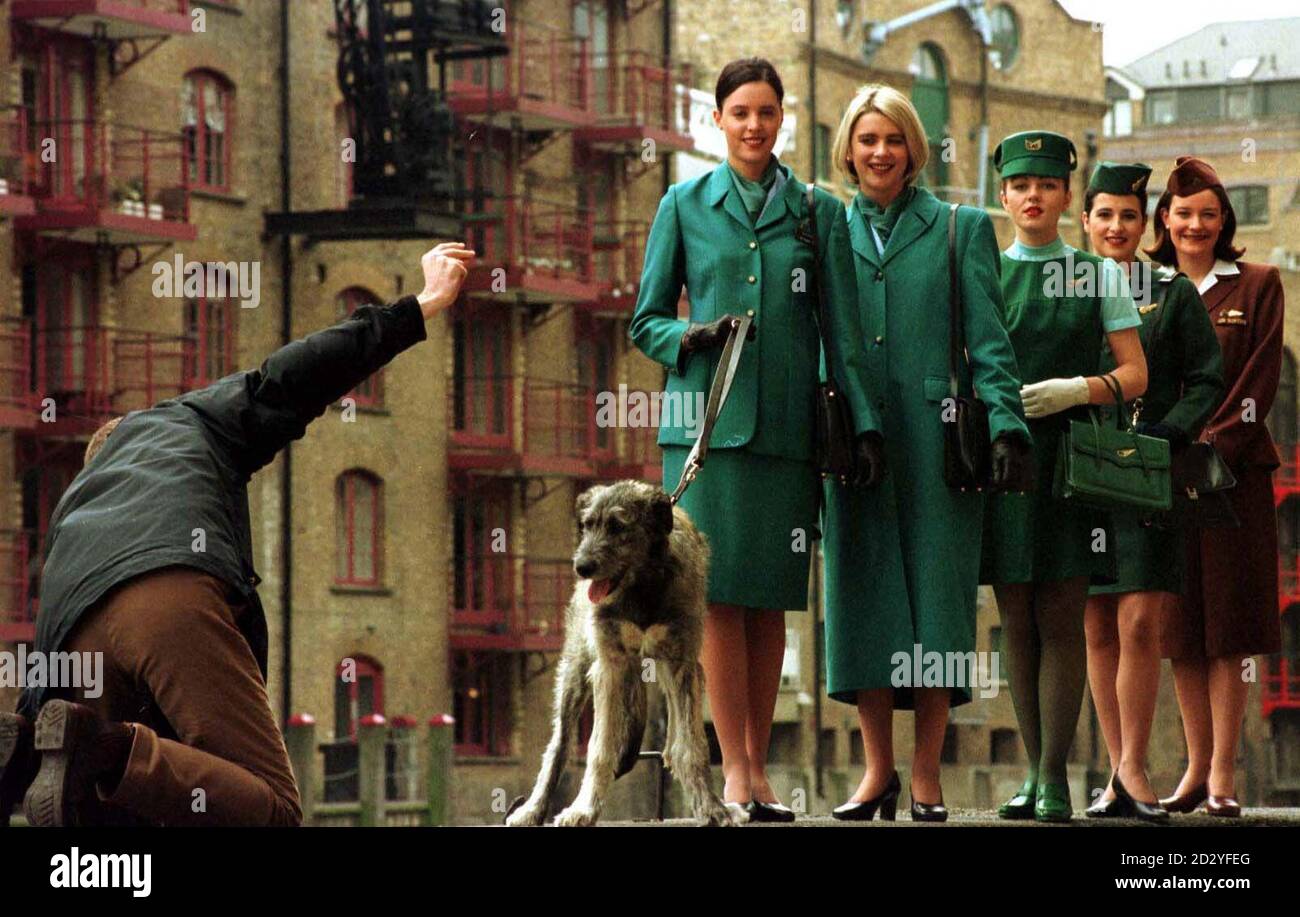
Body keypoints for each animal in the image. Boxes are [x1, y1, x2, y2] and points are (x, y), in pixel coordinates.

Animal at [504, 483, 738, 827]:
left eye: (617, 527)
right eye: (587, 524)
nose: (581, 567)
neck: (642, 587)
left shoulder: (683, 662)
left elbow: (692, 745)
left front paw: (710, 806)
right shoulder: (609, 665)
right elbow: (599, 747)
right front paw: (584, 809)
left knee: (675, 741)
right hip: (576, 668)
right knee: (559, 743)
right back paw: (533, 808)